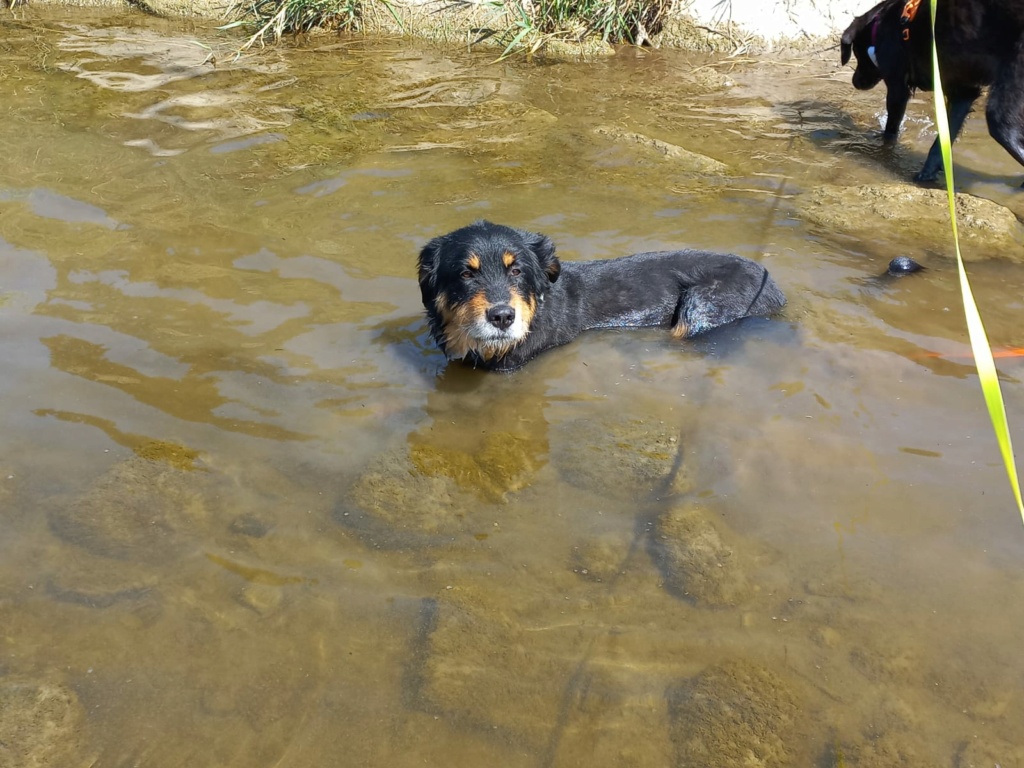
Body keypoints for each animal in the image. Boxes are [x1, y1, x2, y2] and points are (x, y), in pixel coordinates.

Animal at [839, 0, 1024, 185]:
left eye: (857, 54)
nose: (855, 82)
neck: (878, 24)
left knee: (1006, 130)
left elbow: (891, 128)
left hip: (1005, 102)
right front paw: (929, 173)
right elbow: (943, 140)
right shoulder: (963, 93)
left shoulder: (897, 87)